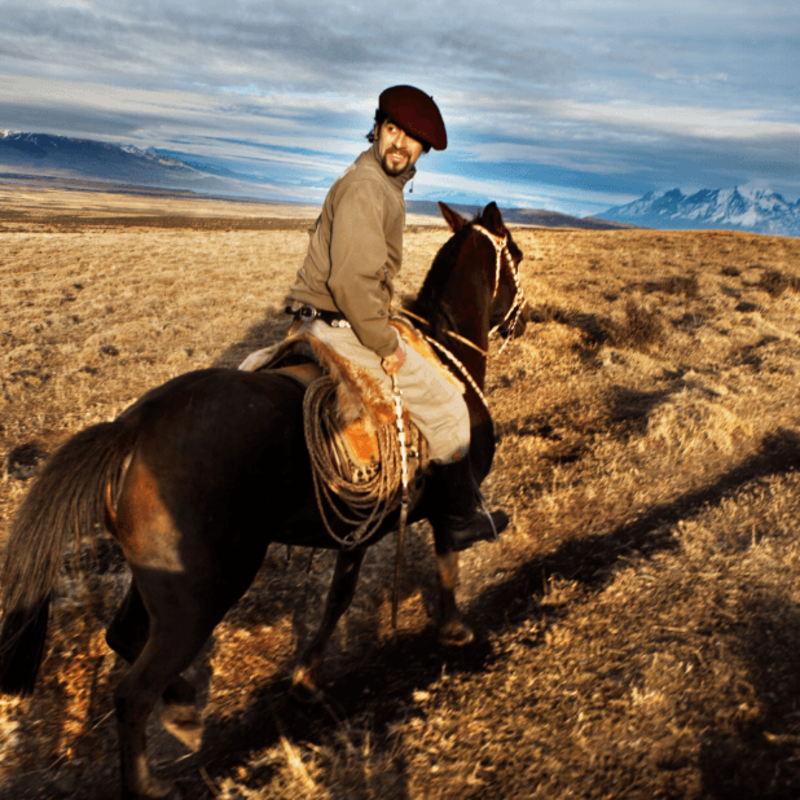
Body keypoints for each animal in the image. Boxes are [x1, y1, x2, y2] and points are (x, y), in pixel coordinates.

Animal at [0, 198, 524, 792]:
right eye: (517, 253)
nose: (523, 317)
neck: (446, 349)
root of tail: (131, 428)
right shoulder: (444, 498)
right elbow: (448, 555)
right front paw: (456, 628)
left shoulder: (356, 529)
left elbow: (339, 598)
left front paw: (306, 680)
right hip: (198, 599)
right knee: (133, 690)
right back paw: (152, 776)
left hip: (159, 585)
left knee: (122, 638)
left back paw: (184, 707)